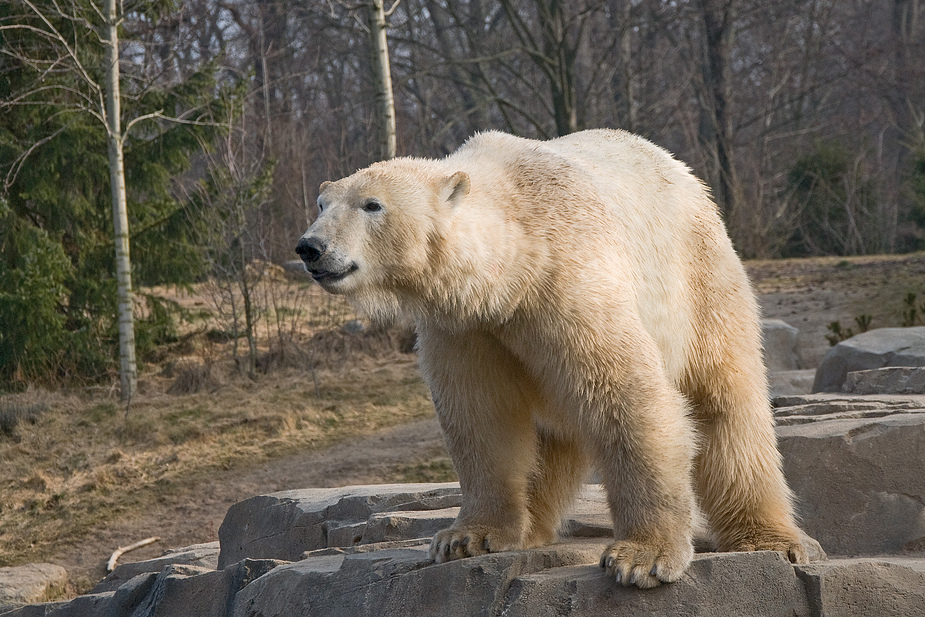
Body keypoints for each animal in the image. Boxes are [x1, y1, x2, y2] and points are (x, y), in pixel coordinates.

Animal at [294, 130, 808, 588]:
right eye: (322, 204)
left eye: (371, 205)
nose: (310, 247)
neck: (513, 265)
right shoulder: (466, 326)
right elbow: (481, 417)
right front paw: (466, 538)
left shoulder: (570, 280)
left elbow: (628, 396)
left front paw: (642, 557)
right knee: (556, 434)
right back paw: (532, 526)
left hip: (700, 282)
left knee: (725, 403)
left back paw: (769, 539)